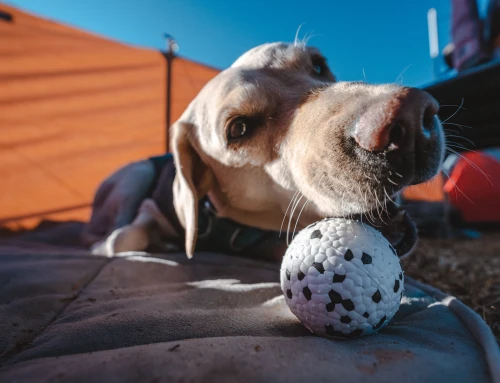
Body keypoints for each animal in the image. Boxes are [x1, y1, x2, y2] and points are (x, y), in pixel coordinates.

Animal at [82, 42, 446, 264]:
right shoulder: (150, 208)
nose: (411, 121)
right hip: (136, 173)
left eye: (319, 65)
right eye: (239, 128)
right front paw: (107, 246)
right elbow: (122, 239)